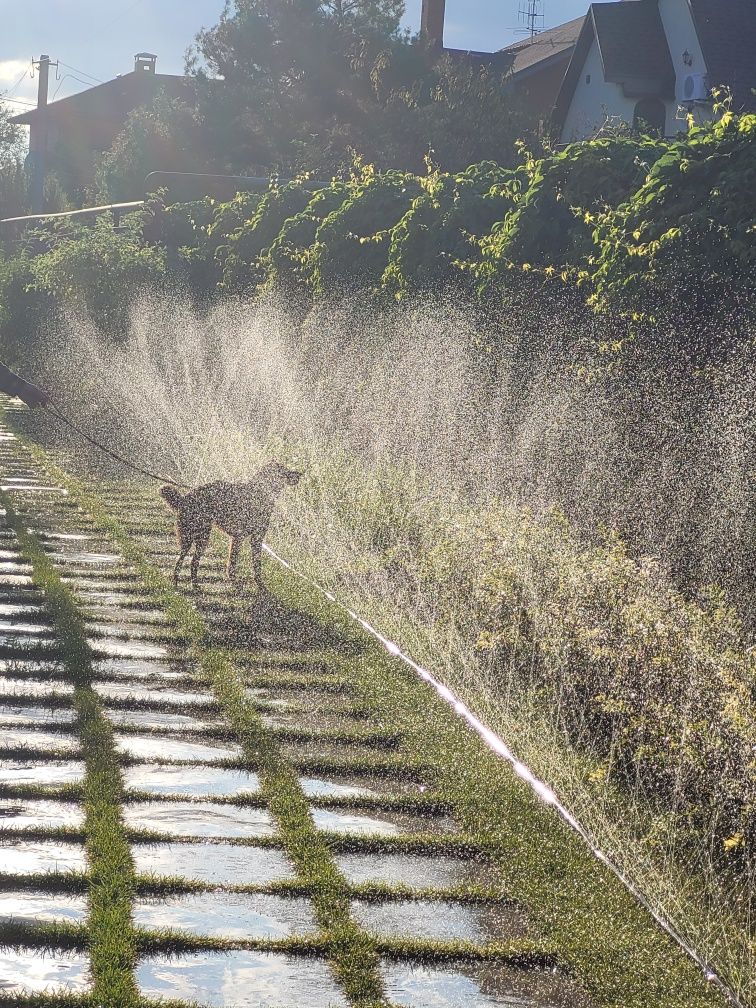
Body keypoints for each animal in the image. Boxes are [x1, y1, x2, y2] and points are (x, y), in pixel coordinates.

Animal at [161, 461, 304, 588]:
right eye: (285, 471)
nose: (300, 473)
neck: (260, 493)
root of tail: (185, 498)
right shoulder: (241, 537)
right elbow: (234, 564)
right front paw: (236, 584)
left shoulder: (254, 539)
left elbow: (256, 566)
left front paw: (258, 585)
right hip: (198, 537)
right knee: (188, 561)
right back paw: (191, 585)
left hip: (194, 538)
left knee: (186, 561)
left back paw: (186, 584)